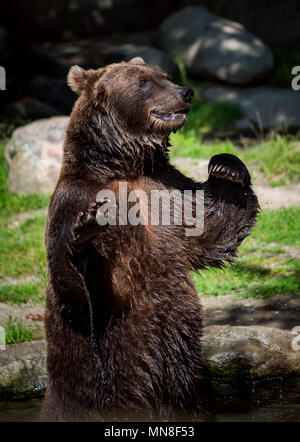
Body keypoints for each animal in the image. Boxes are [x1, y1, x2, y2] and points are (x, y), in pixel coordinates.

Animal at [41, 56, 258, 422]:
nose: (186, 92)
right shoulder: (75, 200)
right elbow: (77, 287)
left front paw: (227, 165)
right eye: (144, 81)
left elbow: (211, 226)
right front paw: (84, 232)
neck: (124, 168)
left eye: (165, 76)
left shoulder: (165, 193)